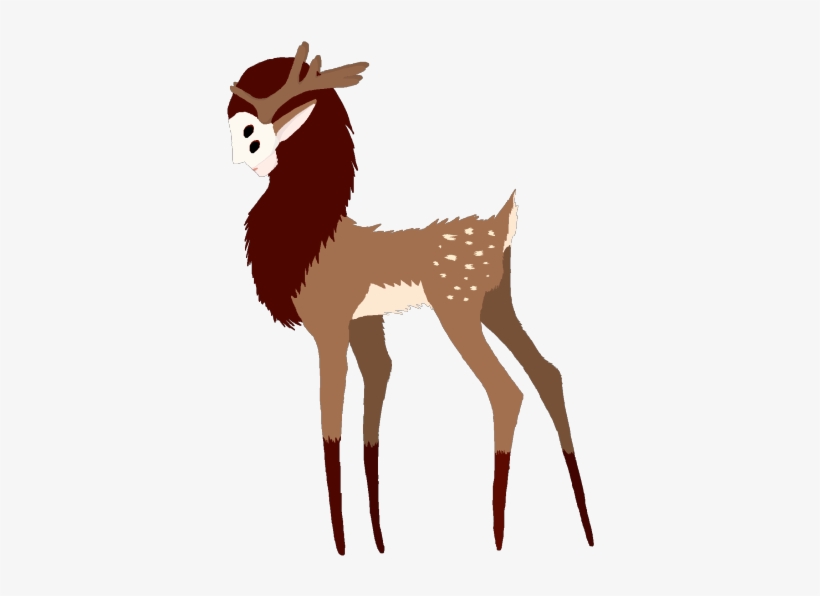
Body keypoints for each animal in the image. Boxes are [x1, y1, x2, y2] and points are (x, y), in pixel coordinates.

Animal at [226, 42, 594, 555]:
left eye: (250, 134)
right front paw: (378, 542)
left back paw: (498, 536)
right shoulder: (366, 324)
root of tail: (501, 225)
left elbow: (331, 429)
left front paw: (341, 545)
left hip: (457, 311)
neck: (313, 241)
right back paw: (585, 529)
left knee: (507, 391)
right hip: (497, 306)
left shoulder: (330, 327)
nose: (240, 161)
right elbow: (370, 424)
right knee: (548, 374)